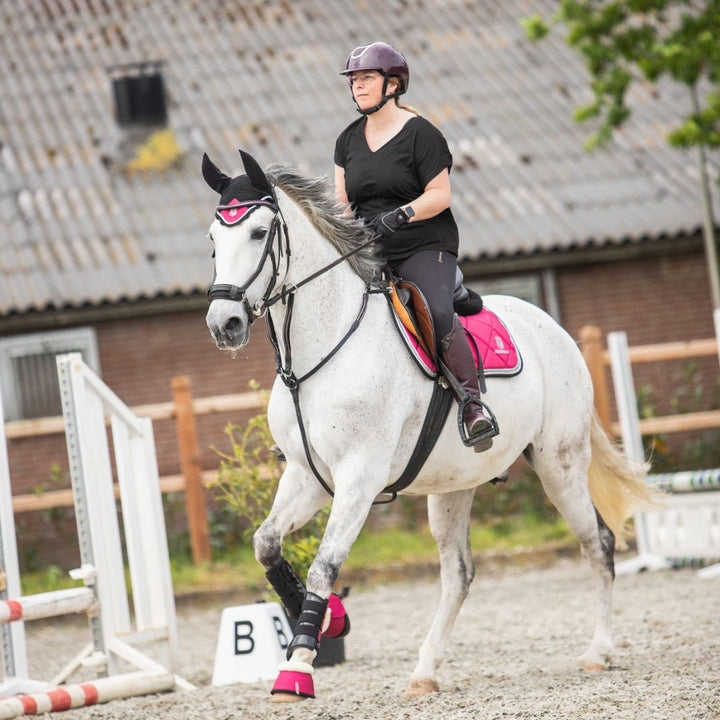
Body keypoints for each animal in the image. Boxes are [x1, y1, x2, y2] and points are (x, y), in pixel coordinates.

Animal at [201, 149, 652, 700]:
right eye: (213, 237)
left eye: (260, 232)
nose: (224, 325)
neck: (318, 358)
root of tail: (554, 328)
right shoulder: (307, 476)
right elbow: (266, 544)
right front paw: (330, 621)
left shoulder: (360, 479)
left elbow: (325, 564)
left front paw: (300, 664)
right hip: (453, 485)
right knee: (458, 574)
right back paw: (425, 670)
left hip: (559, 465)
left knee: (598, 544)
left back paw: (598, 652)